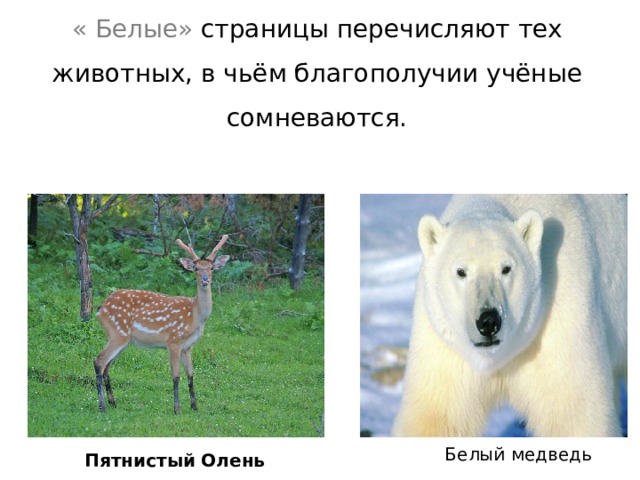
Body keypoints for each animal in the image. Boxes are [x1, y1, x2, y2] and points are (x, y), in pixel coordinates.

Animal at [94, 235, 230, 414]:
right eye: (195, 268)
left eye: (212, 268)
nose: (205, 280)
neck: (195, 316)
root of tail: (100, 309)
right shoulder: (173, 340)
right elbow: (176, 376)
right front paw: (177, 409)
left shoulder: (187, 346)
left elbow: (191, 374)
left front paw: (194, 407)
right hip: (118, 332)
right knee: (99, 361)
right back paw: (102, 406)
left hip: (122, 338)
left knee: (107, 366)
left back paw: (113, 403)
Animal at [392, 194, 627, 437]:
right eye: (461, 271)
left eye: (506, 268)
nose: (488, 321)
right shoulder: (444, 344)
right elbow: (436, 417)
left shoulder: (560, 317)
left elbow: (575, 416)